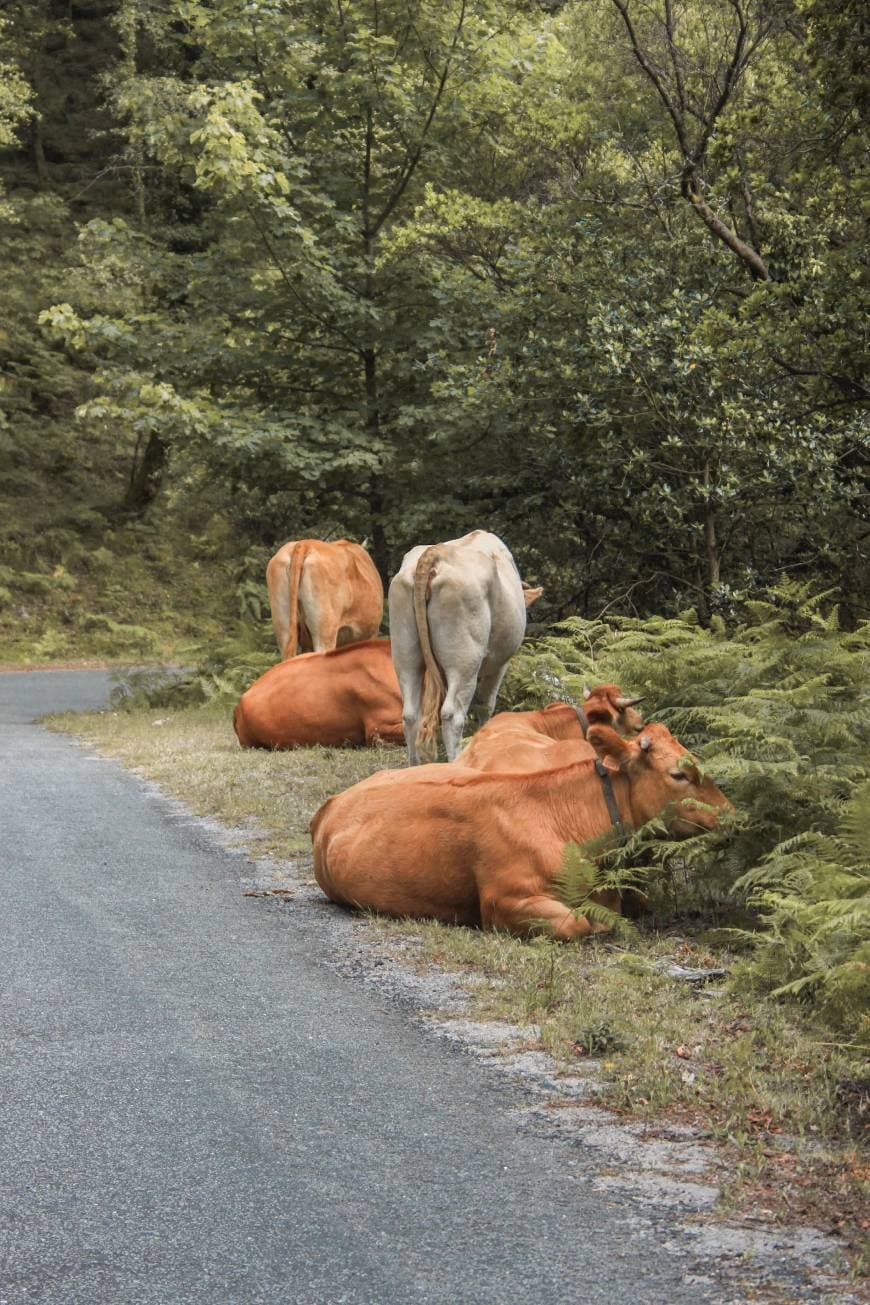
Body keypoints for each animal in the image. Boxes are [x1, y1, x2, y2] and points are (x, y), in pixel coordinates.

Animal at [388, 527, 540, 762]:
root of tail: (436, 553)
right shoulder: (500, 663)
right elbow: (486, 705)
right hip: (465, 660)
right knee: (452, 715)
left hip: (404, 654)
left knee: (411, 713)